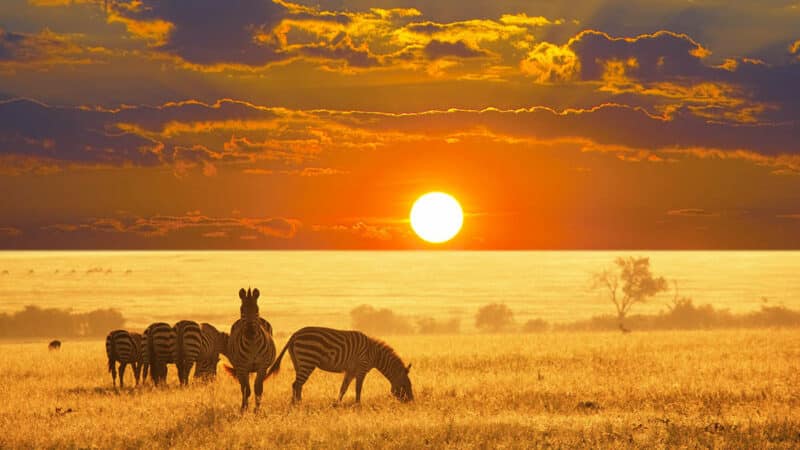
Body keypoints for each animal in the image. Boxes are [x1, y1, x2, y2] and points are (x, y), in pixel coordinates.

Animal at [268, 326, 416, 404]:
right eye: (405, 386)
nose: (412, 403)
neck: (375, 354)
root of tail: (295, 334)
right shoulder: (361, 368)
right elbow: (358, 389)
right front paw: (358, 406)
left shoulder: (351, 371)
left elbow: (343, 388)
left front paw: (336, 404)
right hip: (307, 360)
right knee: (296, 384)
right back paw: (296, 405)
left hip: (298, 363)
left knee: (298, 385)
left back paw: (298, 404)